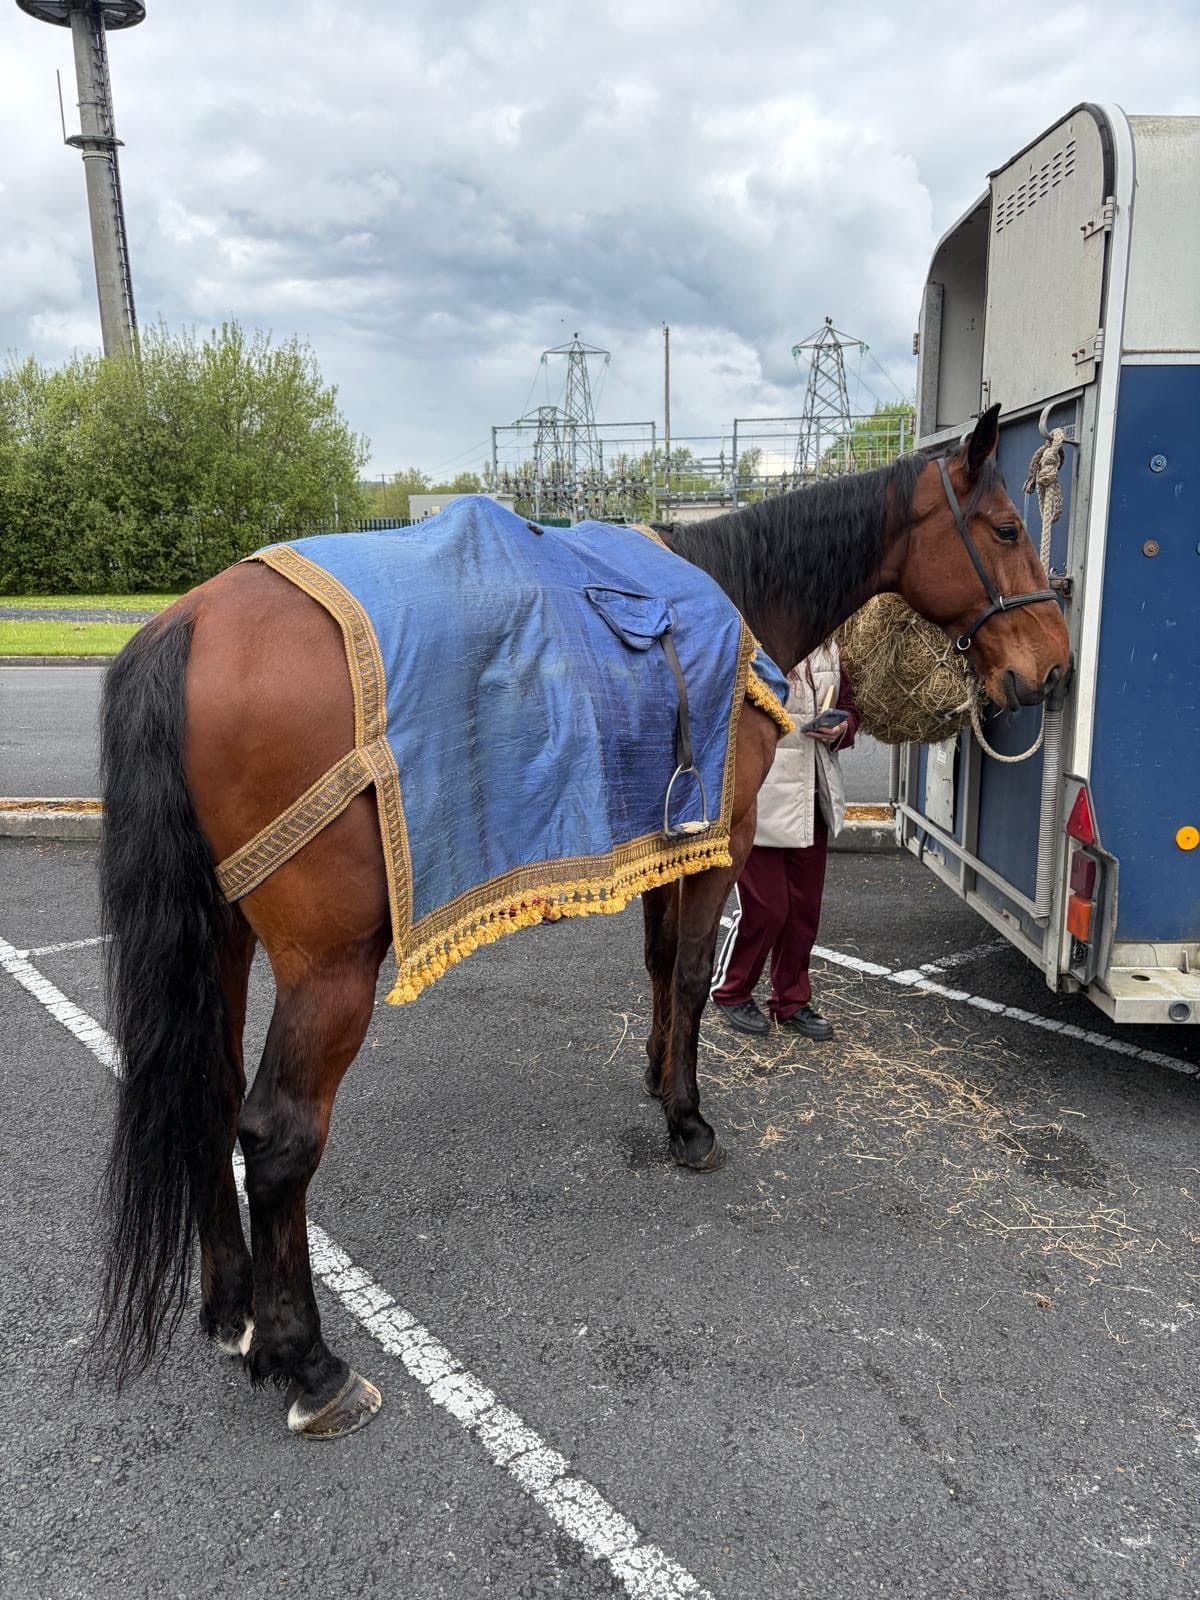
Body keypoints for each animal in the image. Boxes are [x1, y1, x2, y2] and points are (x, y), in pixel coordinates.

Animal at [93, 403, 1070, 1437]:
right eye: (1007, 528)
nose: (1052, 665)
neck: (732, 591)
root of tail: (193, 618)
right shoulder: (722, 842)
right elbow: (693, 973)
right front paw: (688, 1120)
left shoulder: (662, 842)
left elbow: (658, 963)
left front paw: (656, 1075)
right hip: (330, 967)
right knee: (278, 1135)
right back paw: (307, 1363)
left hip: (224, 938)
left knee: (209, 1093)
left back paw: (230, 1308)